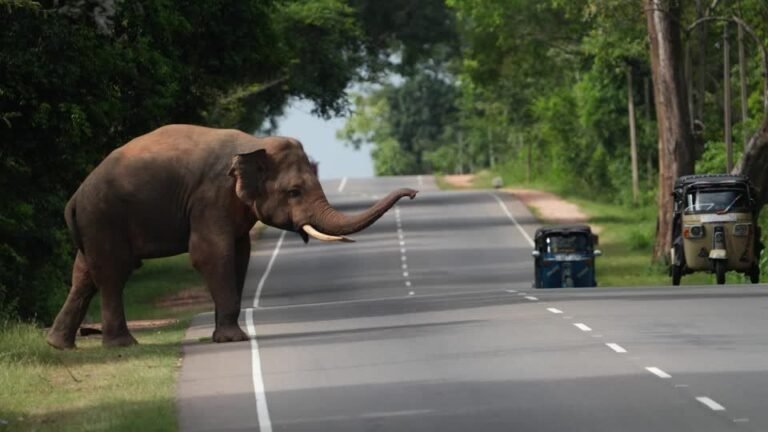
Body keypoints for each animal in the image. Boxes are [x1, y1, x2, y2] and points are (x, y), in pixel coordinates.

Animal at [46, 124, 417, 349]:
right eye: (294, 192)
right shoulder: (211, 196)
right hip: (104, 218)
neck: (254, 144)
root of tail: (74, 199)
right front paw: (233, 340)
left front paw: (223, 336)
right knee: (113, 272)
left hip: (95, 224)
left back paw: (59, 344)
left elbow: (240, 254)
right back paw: (122, 345)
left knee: (84, 274)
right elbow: (211, 254)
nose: (413, 193)